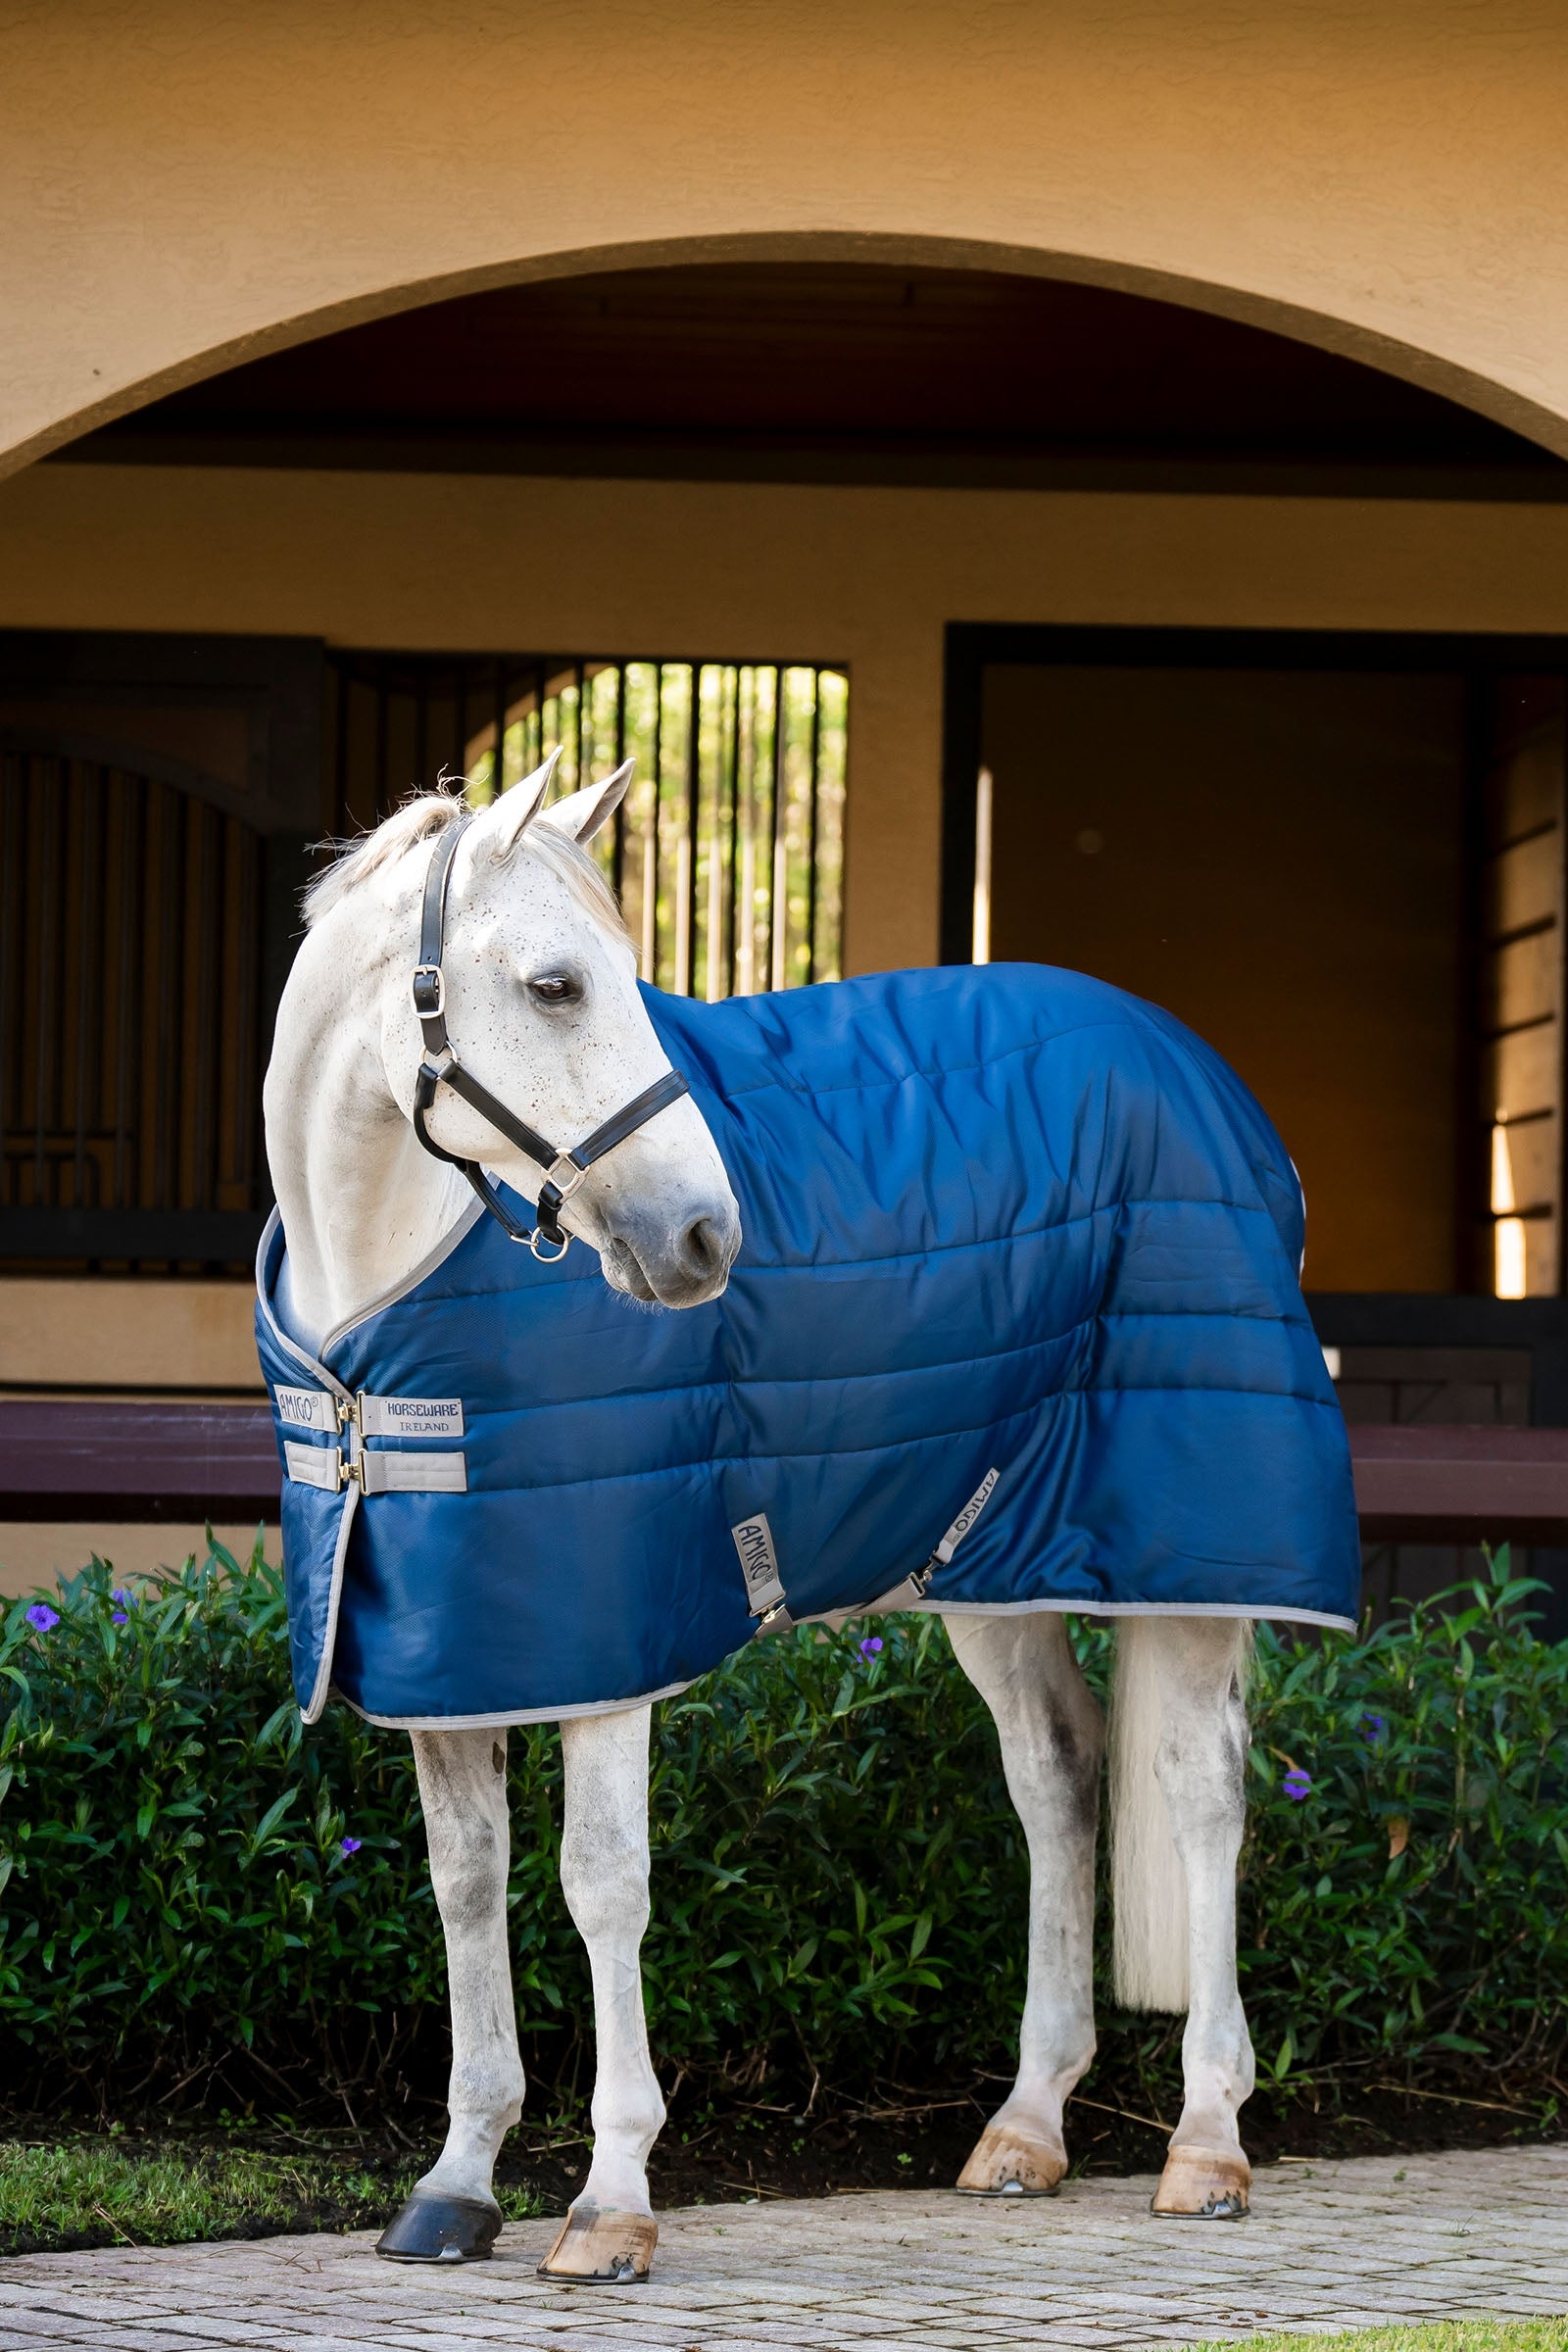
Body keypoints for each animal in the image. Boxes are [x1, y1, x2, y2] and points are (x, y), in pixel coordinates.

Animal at [260, 753, 1356, 2279]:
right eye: (554, 985)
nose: (703, 1240)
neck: (379, 1315)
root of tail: (1204, 1079)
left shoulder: (610, 1641)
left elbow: (601, 1883)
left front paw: (610, 2203)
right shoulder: (453, 1647)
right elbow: (466, 1884)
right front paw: (458, 2183)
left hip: (1187, 1555)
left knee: (1201, 1792)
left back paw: (1206, 2142)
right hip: (986, 1561)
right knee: (1057, 1774)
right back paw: (1025, 2128)